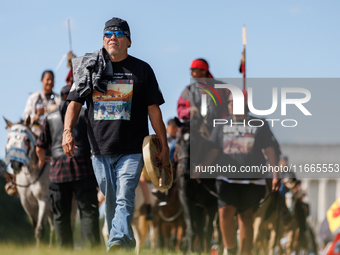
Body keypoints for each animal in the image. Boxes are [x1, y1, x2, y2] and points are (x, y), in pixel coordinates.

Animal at [4, 117, 53, 247]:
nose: (16, 163)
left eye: (26, 140)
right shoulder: (26, 202)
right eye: (8, 138)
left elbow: (40, 229)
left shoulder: (44, 199)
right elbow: (35, 227)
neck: (31, 174)